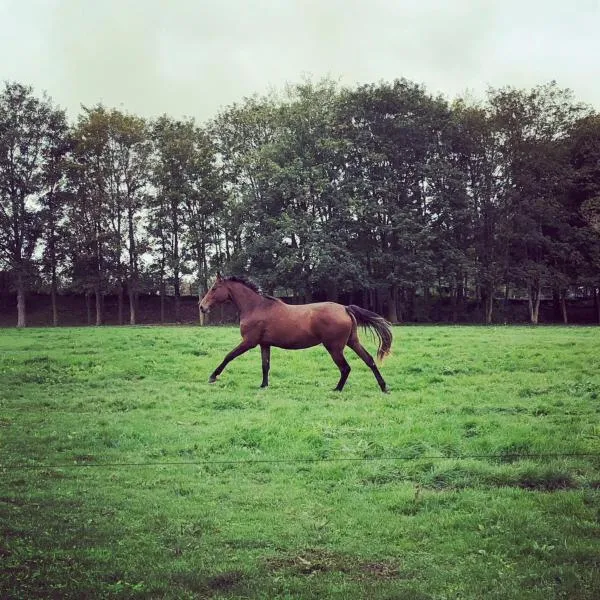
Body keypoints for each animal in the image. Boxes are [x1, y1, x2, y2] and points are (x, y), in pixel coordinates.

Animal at [199, 274, 392, 392]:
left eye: (214, 288)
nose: (202, 306)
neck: (256, 307)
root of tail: (345, 308)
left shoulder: (249, 342)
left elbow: (229, 356)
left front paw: (213, 376)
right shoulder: (264, 344)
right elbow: (265, 365)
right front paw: (263, 385)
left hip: (334, 347)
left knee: (345, 368)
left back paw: (337, 389)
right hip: (352, 342)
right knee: (369, 360)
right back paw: (383, 387)